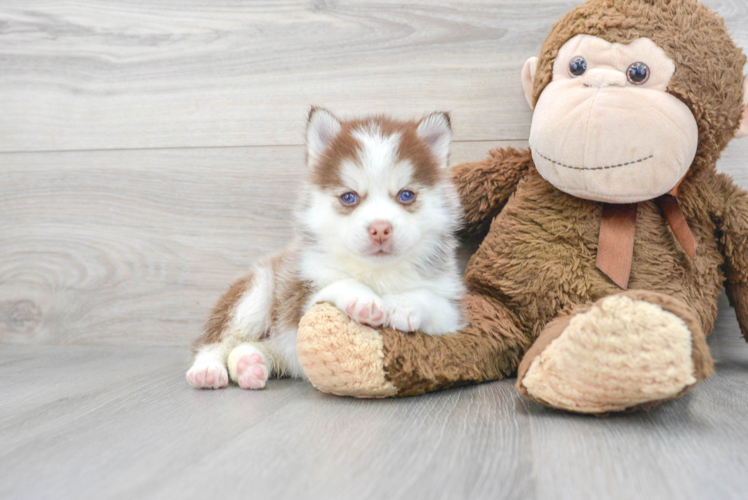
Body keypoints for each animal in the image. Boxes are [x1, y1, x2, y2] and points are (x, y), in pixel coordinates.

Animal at [185, 109, 464, 390]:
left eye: (406, 195)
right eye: (349, 197)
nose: (380, 229)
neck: (376, 273)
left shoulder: (453, 313)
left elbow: (433, 301)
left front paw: (403, 306)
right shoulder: (300, 298)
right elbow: (336, 285)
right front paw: (363, 299)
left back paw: (250, 364)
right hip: (256, 292)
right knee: (217, 338)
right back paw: (208, 369)